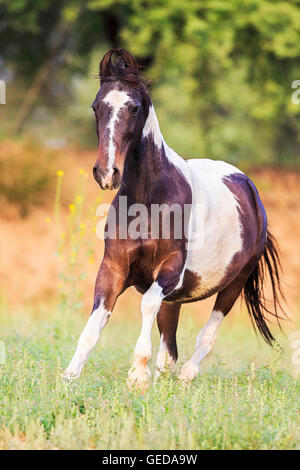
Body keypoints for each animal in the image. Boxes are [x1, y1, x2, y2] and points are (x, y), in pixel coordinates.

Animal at [63, 47, 286, 388]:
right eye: (96, 106)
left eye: (134, 107)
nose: (107, 173)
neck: (148, 201)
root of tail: (249, 188)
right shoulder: (113, 268)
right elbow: (96, 321)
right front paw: (69, 377)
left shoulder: (169, 270)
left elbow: (146, 304)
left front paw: (138, 374)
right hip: (177, 299)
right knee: (170, 346)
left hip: (235, 282)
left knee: (207, 334)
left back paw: (186, 375)